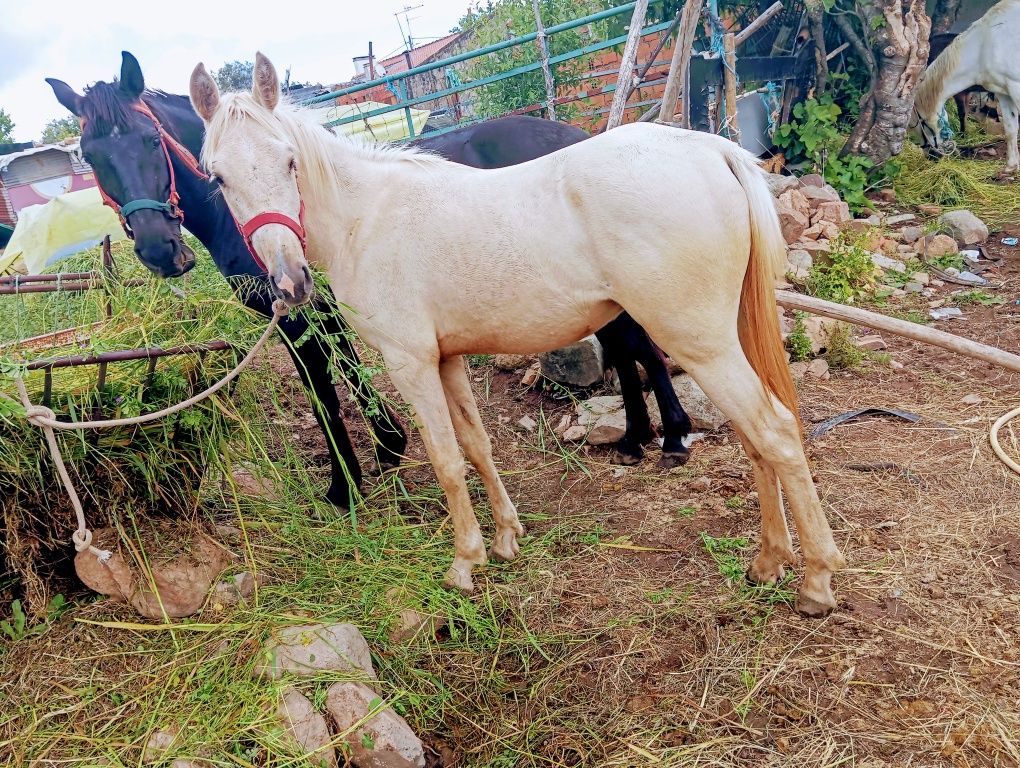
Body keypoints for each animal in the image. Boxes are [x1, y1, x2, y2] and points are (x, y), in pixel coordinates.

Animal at [189, 52, 844, 616]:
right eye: (217, 178)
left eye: (288, 161)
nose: (289, 281)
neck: (367, 220)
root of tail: (711, 150)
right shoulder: (446, 359)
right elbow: (477, 447)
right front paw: (504, 539)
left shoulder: (410, 363)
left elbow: (446, 460)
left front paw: (463, 563)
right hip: (721, 339)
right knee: (755, 437)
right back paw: (768, 561)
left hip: (699, 341)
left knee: (775, 432)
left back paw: (815, 580)